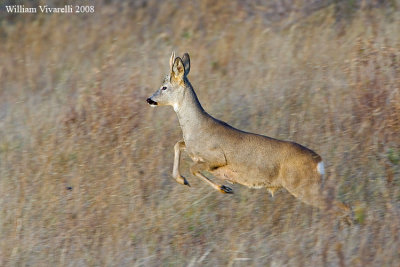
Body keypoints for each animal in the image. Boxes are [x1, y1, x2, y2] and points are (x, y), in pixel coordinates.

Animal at [146, 52, 350, 220]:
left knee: (339, 207)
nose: (149, 99)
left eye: (164, 87)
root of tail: (319, 162)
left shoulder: (216, 157)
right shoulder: (191, 148)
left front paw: (224, 188)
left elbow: (193, 168)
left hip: (303, 187)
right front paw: (183, 180)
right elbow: (178, 145)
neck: (196, 127)